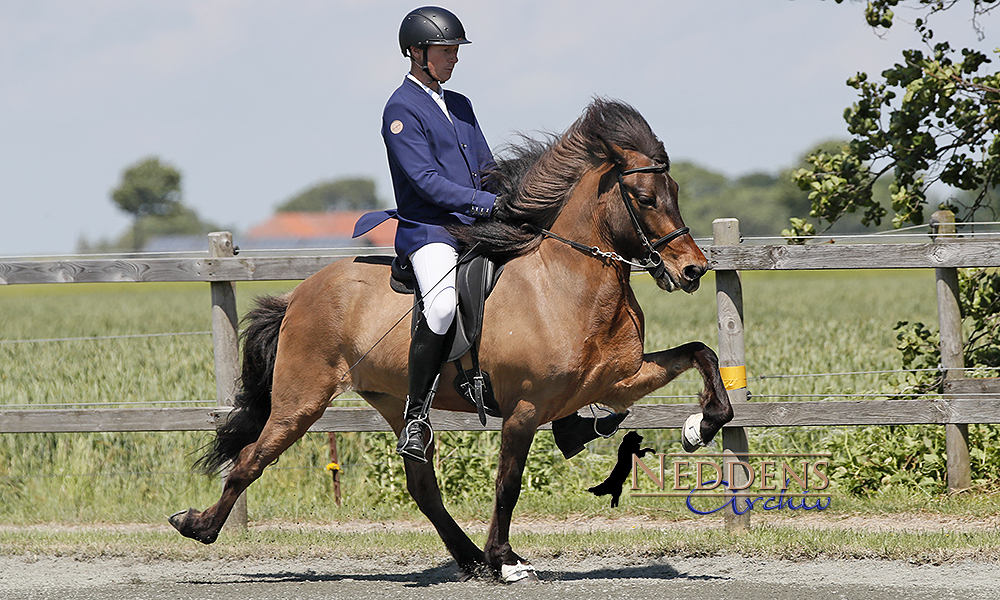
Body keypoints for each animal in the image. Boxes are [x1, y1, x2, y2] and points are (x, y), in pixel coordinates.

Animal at [170, 97, 736, 580]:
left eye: (676, 194)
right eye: (643, 198)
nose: (692, 270)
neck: (565, 281)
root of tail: (299, 294)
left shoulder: (616, 381)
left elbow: (701, 355)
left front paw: (698, 428)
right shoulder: (525, 409)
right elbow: (508, 482)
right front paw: (507, 559)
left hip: (394, 399)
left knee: (420, 482)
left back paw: (468, 558)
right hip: (300, 401)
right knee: (251, 459)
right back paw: (197, 525)